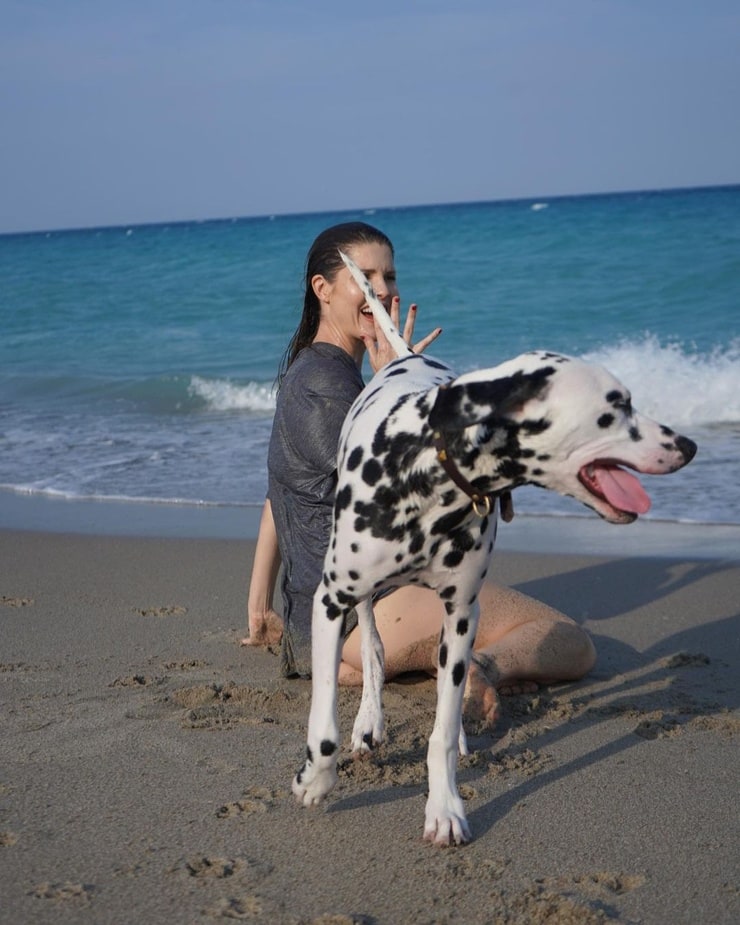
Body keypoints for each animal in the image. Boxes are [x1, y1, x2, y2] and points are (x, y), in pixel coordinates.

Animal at [292, 249, 696, 840]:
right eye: (615, 406)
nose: (688, 445)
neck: (426, 469)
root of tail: (405, 359)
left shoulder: (462, 610)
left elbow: (441, 729)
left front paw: (444, 805)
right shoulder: (329, 600)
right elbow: (323, 727)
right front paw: (315, 782)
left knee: (446, 683)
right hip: (358, 598)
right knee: (372, 649)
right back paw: (368, 720)